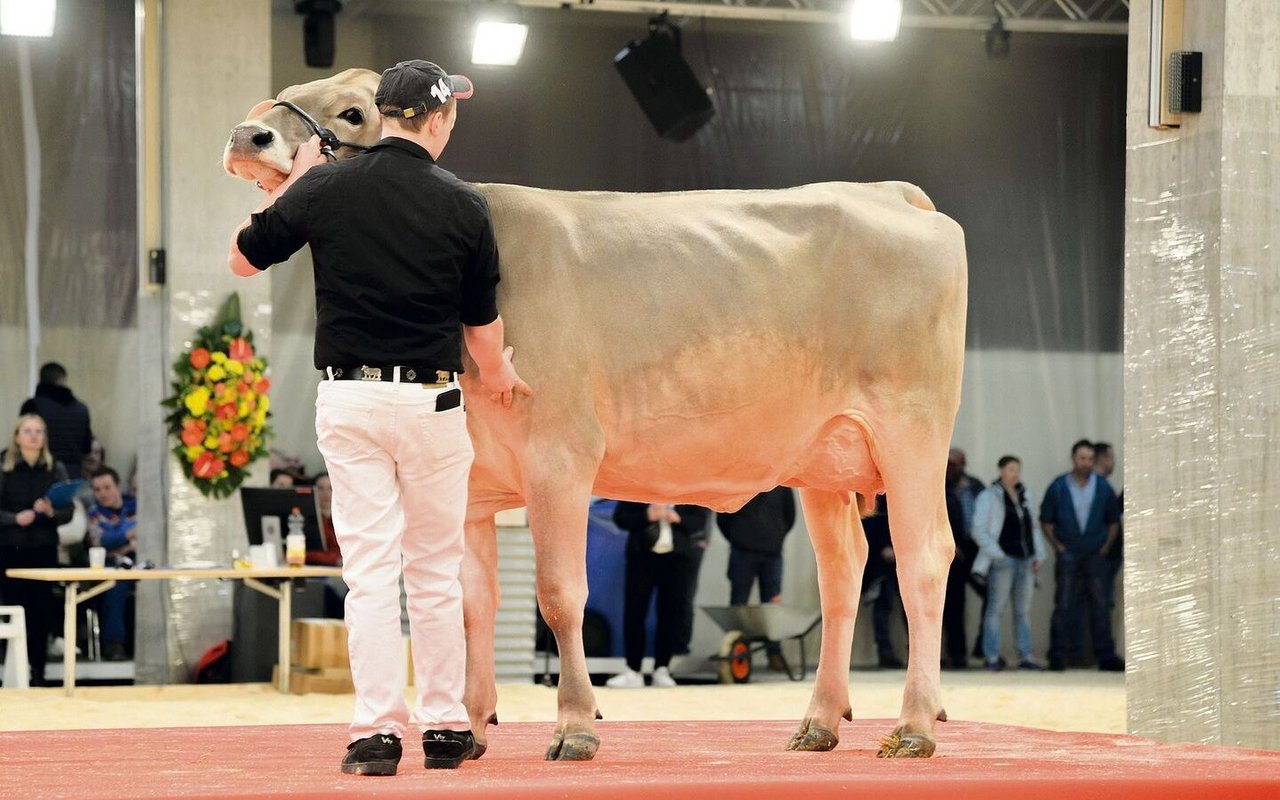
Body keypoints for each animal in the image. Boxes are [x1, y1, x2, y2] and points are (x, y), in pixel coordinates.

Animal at [225, 67, 962, 752]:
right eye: (289, 93)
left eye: (353, 111)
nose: (246, 135)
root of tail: (890, 193)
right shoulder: (469, 484)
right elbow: (472, 604)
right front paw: (473, 727)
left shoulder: (561, 457)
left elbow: (559, 594)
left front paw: (575, 724)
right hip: (825, 457)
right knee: (844, 574)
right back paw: (819, 723)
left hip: (913, 433)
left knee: (924, 561)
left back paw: (915, 726)